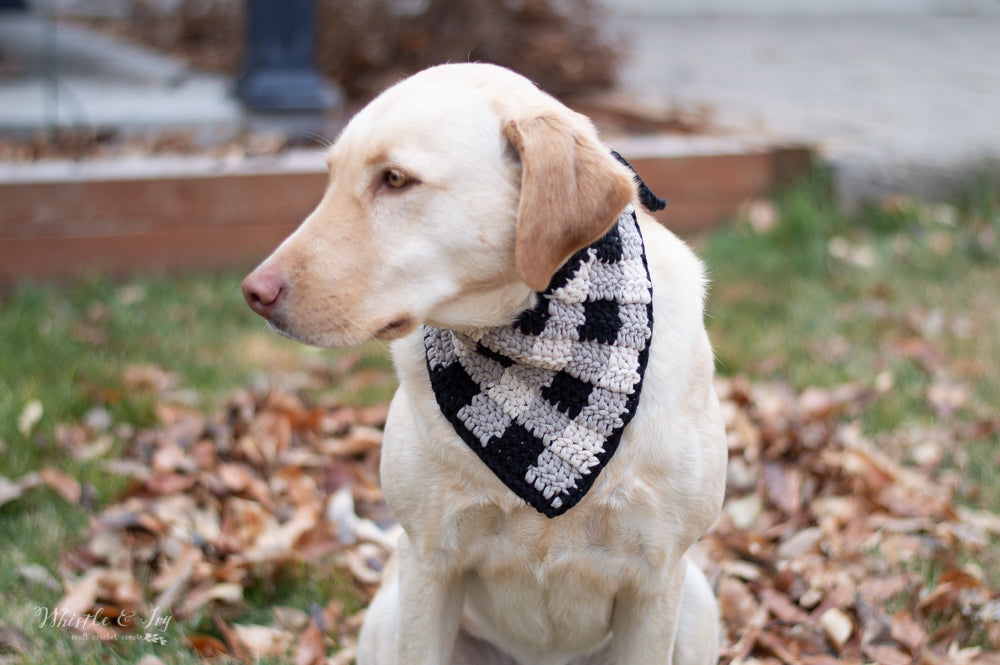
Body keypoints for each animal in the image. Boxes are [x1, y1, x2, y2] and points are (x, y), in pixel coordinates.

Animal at [242, 63, 728, 664]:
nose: (254, 292)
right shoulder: (429, 565)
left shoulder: (656, 579)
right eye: (331, 178)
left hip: (696, 603)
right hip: (390, 612)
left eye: (395, 179)